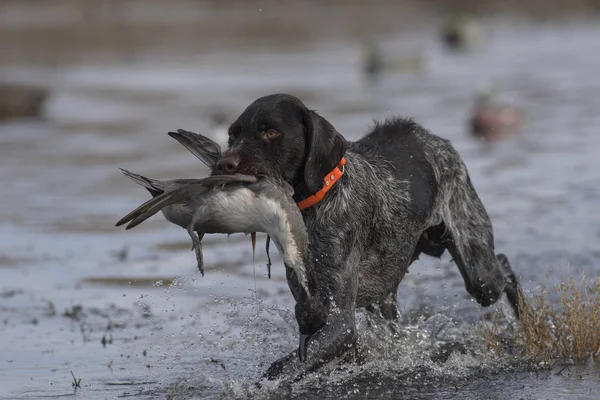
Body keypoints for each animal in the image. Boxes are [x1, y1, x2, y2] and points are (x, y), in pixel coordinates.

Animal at [207, 93, 520, 382]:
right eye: (233, 135)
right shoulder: (313, 315)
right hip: (387, 292)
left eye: (271, 133)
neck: (315, 205)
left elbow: (282, 368)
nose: (223, 165)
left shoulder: (340, 324)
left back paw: (524, 320)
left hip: (480, 275)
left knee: (503, 266)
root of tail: (429, 136)